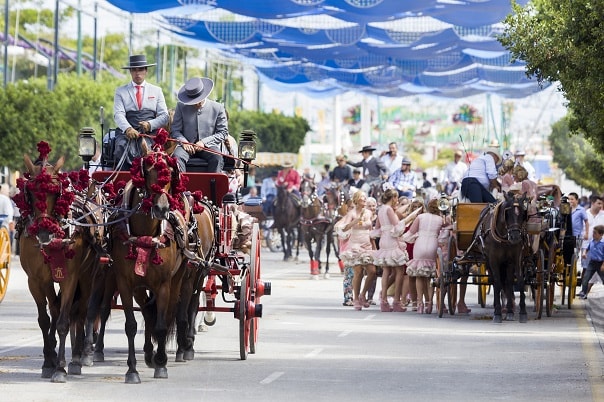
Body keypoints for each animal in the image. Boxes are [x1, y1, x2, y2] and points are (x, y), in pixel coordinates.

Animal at [14, 146, 100, 382]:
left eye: (56, 191)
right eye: (30, 192)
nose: (44, 232)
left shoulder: (69, 278)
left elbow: (64, 321)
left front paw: (60, 368)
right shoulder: (35, 280)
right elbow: (45, 319)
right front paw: (48, 361)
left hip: (88, 277)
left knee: (81, 311)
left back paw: (78, 356)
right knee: (55, 308)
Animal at [474, 192, 528, 324]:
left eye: (523, 214)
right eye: (507, 213)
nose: (515, 237)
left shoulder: (514, 259)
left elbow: (516, 281)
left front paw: (518, 312)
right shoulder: (493, 260)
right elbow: (497, 283)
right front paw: (497, 313)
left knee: (506, 282)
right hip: (488, 261)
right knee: (494, 281)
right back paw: (497, 307)